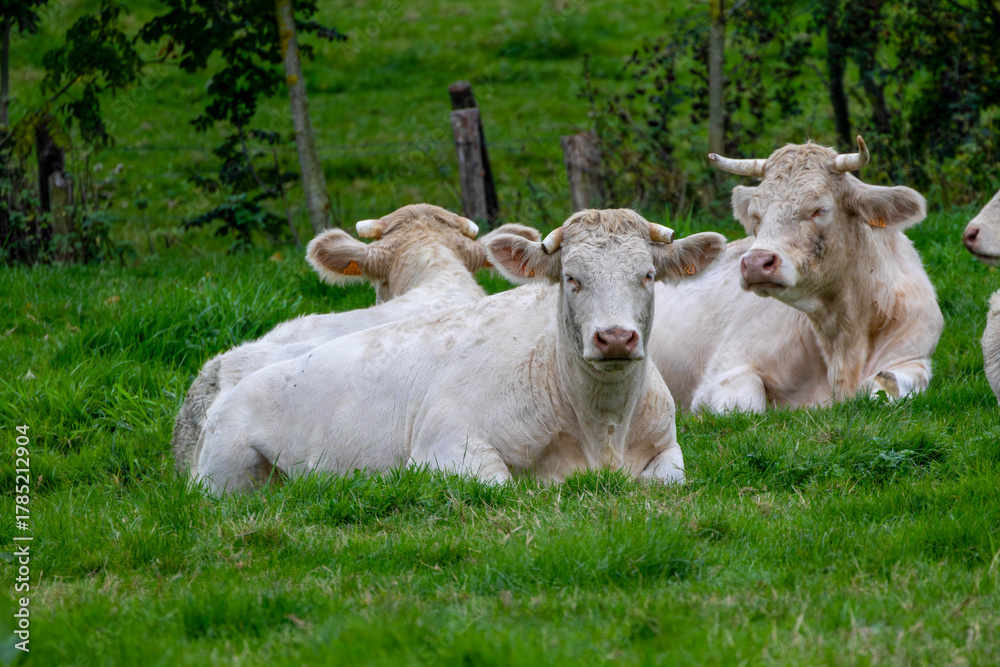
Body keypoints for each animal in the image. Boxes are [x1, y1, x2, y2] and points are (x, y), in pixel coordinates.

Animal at [648, 137, 943, 412]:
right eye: (756, 215)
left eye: (819, 209)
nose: (755, 262)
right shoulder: (724, 371)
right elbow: (745, 405)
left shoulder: (912, 356)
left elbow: (885, 385)